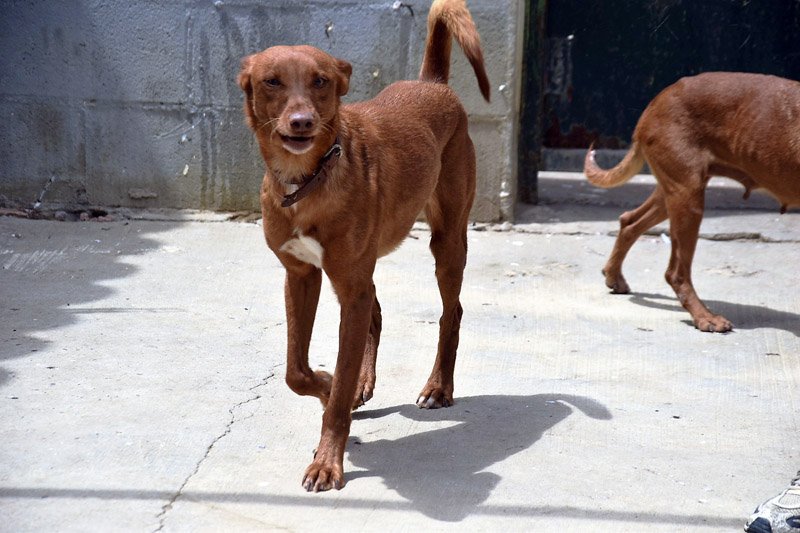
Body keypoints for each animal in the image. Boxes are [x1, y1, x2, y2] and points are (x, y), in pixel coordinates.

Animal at [238, 0, 490, 491]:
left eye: (321, 81)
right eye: (271, 81)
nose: (302, 122)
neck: (306, 182)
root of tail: (431, 83)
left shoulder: (347, 282)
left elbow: (333, 390)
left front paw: (327, 460)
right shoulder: (302, 275)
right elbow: (296, 371)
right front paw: (329, 383)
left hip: (446, 242)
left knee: (451, 313)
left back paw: (439, 387)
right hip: (362, 267)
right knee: (376, 311)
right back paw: (360, 384)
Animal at [584, 72, 800, 332]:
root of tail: (658, 99)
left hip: (673, 195)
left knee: (629, 221)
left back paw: (614, 276)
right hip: (687, 197)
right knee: (675, 273)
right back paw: (704, 316)